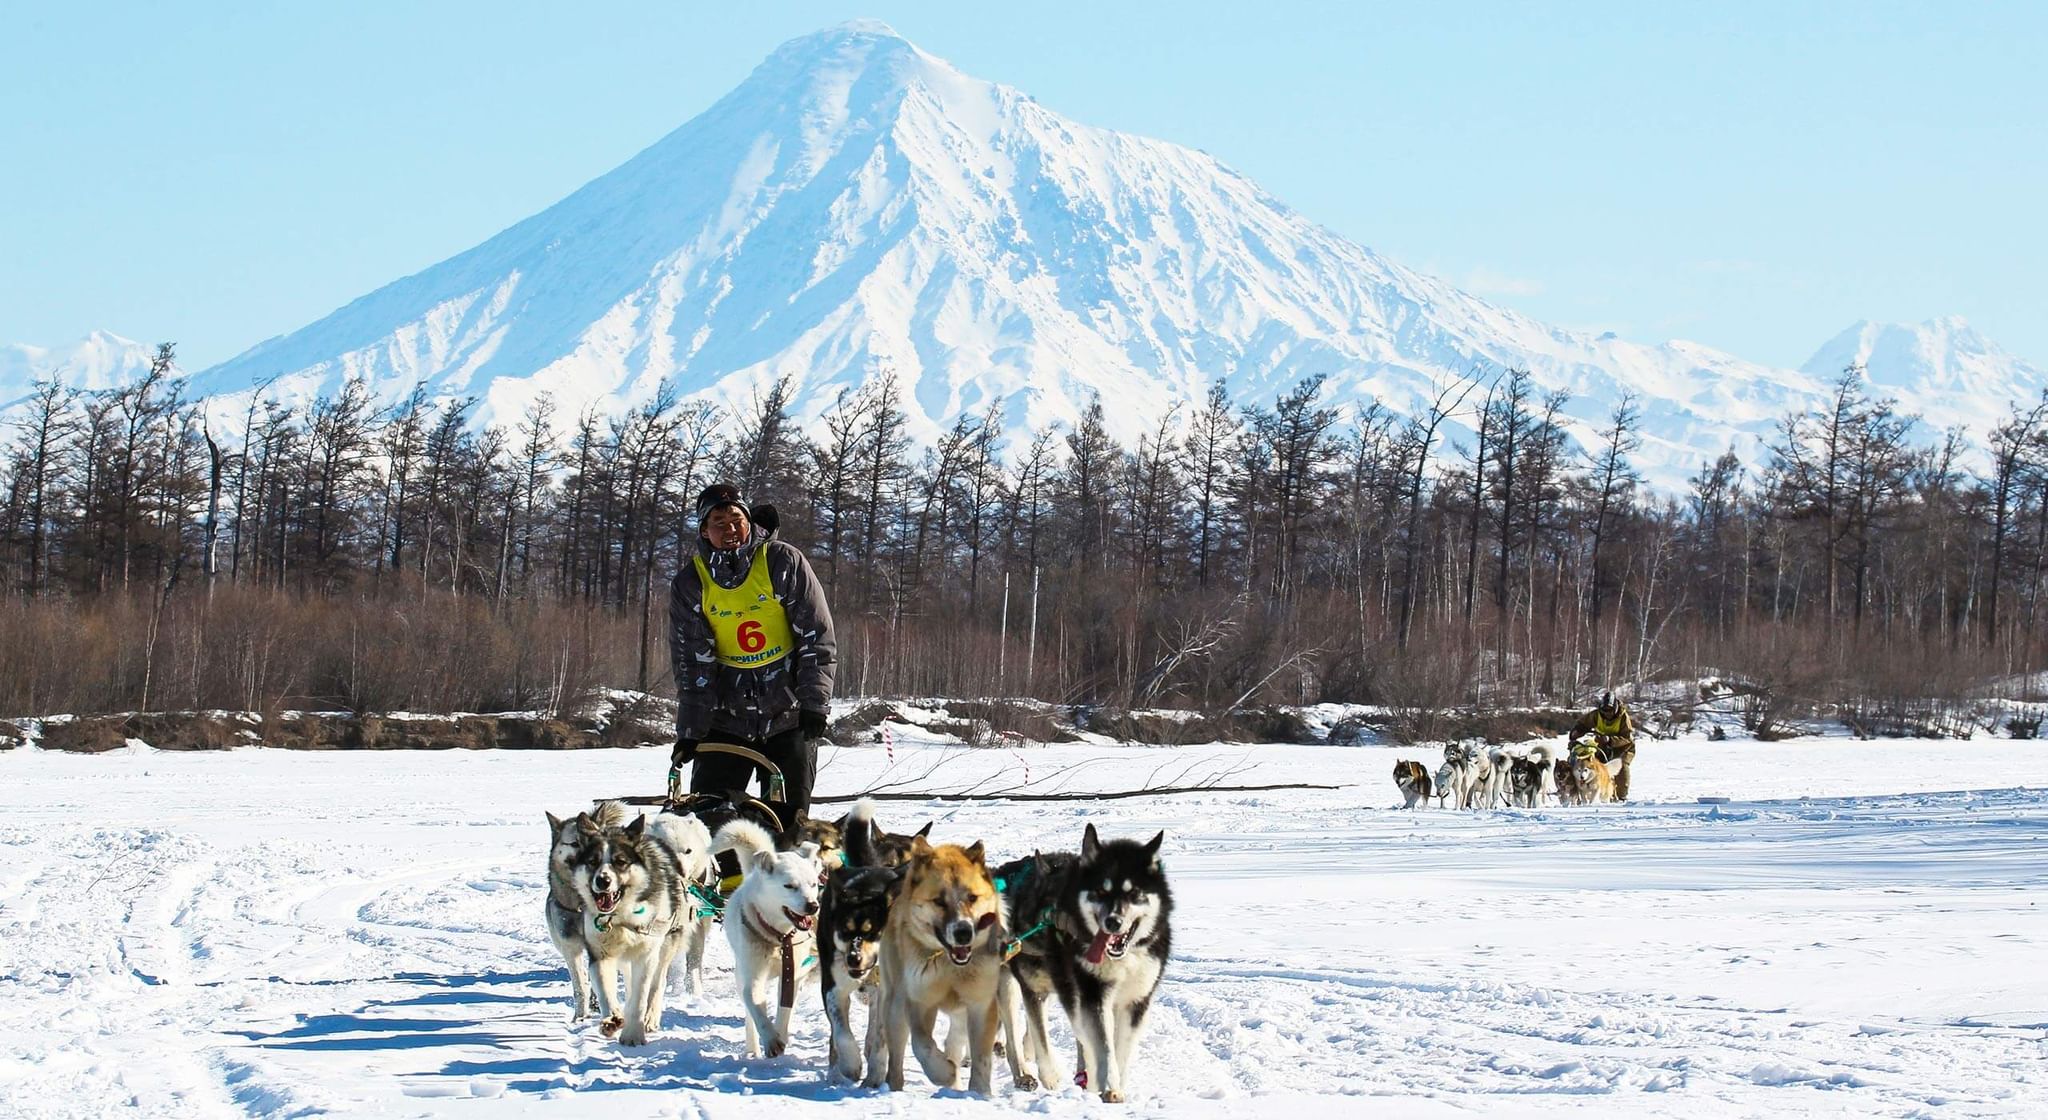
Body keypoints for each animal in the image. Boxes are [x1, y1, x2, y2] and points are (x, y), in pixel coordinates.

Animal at [548, 802, 716, 1048]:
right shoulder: (599, 953)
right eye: (592, 861)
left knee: (657, 983)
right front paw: (611, 1019)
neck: (620, 916)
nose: (603, 880)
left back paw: (651, 1017)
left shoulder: (646, 954)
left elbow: (641, 995)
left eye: (621, 862)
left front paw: (633, 1034)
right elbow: (603, 990)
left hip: (667, 943)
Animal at [712, 819, 823, 1056]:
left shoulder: (791, 976)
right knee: (749, 1017)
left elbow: (785, 1009)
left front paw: (780, 1033)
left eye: (813, 884)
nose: (813, 905)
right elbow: (756, 1007)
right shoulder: (752, 978)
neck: (779, 939)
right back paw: (752, 1049)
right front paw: (771, 1040)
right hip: (741, 974)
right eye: (789, 886)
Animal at [868, 843, 1011, 1097]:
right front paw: (945, 1073)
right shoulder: (920, 1001)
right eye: (939, 901)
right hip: (895, 1004)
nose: (963, 932)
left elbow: (982, 1057)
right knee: (895, 1056)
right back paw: (893, 1086)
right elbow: (921, 1045)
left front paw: (980, 1094)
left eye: (972, 897)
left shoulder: (980, 1003)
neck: (949, 965)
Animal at [999, 823, 1179, 1105]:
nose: (1113, 922)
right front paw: (1087, 1080)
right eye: (1100, 892)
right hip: (1010, 986)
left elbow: (1116, 1048)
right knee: (1011, 1035)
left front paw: (1111, 1086)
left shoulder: (1135, 999)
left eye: (1134, 893)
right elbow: (1090, 1043)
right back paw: (1021, 1072)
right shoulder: (1082, 992)